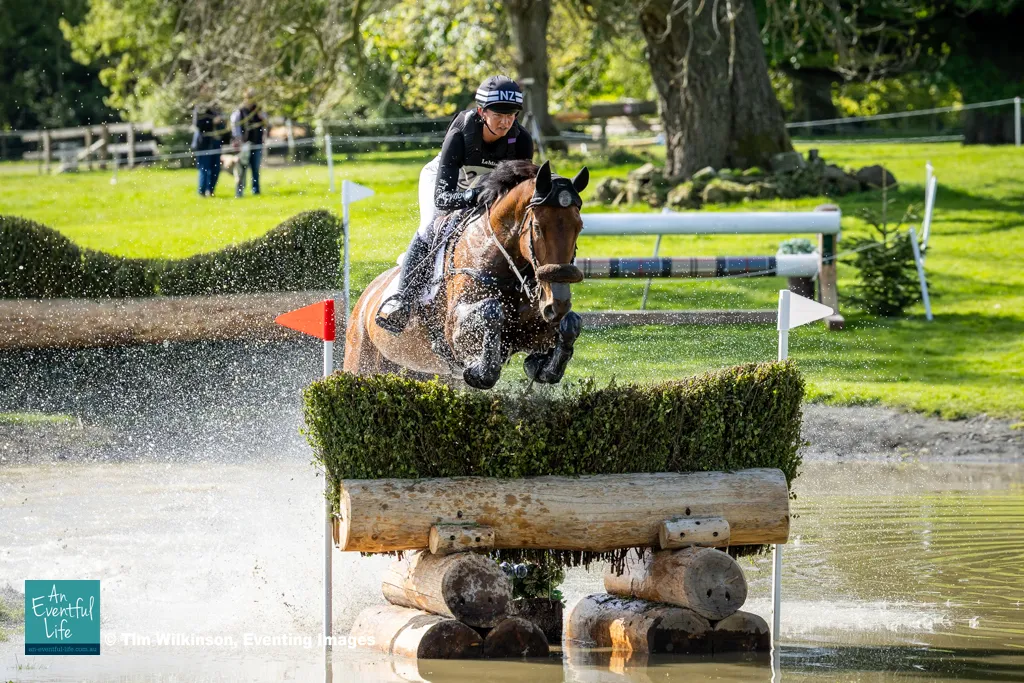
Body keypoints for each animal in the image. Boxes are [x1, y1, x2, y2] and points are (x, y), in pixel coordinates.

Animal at [344, 160, 589, 390]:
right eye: (537, 227)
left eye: (579, 227)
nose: (556, 305)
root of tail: (366, 297)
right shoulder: (454, 324)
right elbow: (491, 310)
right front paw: (478, 371)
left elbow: (571, 323)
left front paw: (542, 366)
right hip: (360, 361)